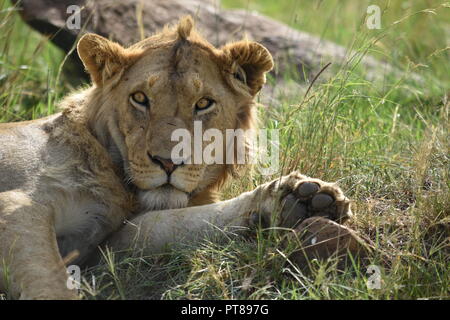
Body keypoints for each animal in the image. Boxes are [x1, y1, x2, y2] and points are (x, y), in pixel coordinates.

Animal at [0, 16, 352, 298]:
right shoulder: (18, 205)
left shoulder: (104, 247)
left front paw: (299, 201)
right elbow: (48, 282)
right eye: (139, 98)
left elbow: (176, 224)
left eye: (203, 103)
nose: (168, 162)